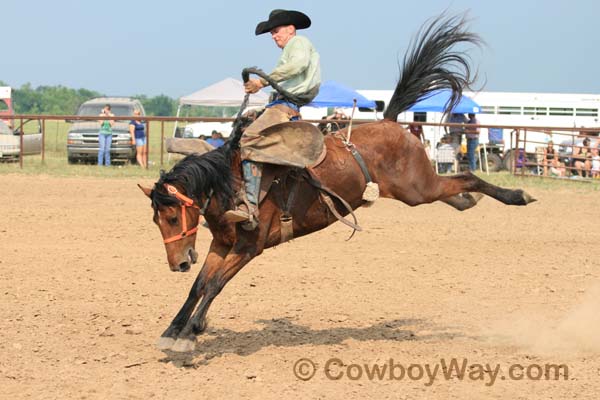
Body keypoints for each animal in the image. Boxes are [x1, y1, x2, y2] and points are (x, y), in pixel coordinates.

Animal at [139, 14, 536, 354]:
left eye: (172, 217)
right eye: (157, 221)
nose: (177, 263)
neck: (230, 181)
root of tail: (391, 122)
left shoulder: (251, 247)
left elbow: (215, 284)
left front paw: (189, 334)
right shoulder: (221, 243)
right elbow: (200, 285)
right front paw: (174, 330)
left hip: (417, 188)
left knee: (465, 176)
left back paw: (517, 195)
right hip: (416, 189)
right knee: (453, 186)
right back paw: (468, 201)